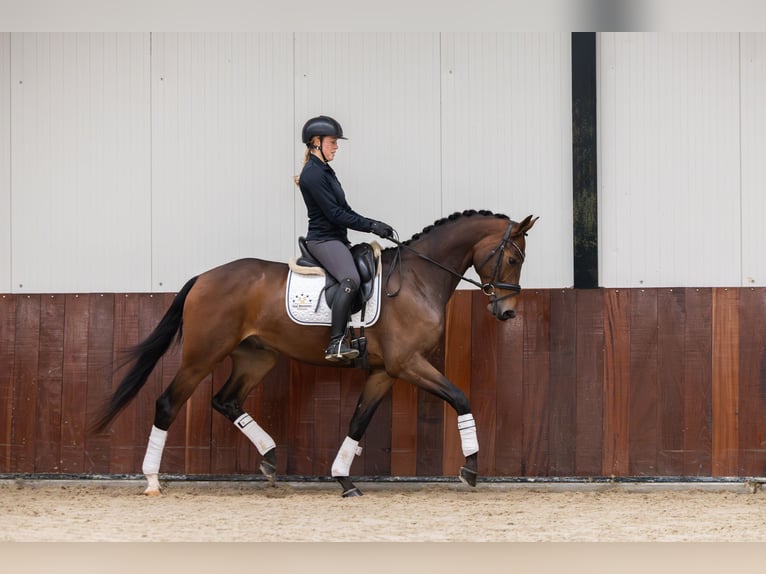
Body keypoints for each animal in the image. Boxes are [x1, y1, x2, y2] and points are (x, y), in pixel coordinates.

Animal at [91, 209, 538, 497]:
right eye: (512, 257)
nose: (507, 312)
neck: (416, 279)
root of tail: (204, 276)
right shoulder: (408, 364)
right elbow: (461, 398)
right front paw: (470, 469)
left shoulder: (384, 372)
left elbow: (358, 422)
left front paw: (343, 478)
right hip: (202, 356)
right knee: (168, 403)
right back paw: (152, 480)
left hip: (257, 356)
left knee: (227, 399)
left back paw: (271, 459)